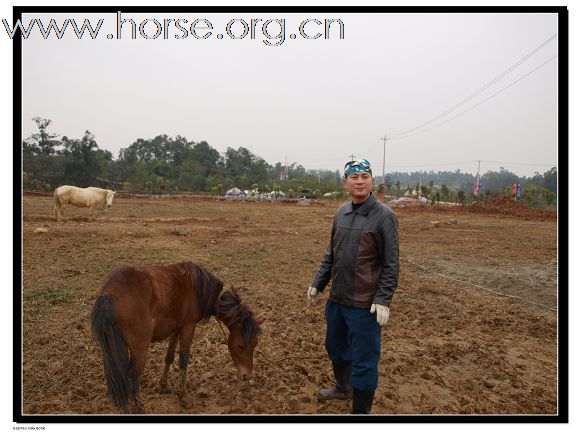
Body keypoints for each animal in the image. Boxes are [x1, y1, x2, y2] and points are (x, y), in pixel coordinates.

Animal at [90, 260, 262, 414]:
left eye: (254, 344)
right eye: (241, 346)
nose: (247, 375)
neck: (199, 288)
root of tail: (109, 293)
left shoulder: (176, 329)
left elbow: (169, 356)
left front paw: (164, 386)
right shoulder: (188, 326)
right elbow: (184, 359)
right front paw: (182, 396)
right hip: (140, 349)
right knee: (132, 375)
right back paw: (137, 408)